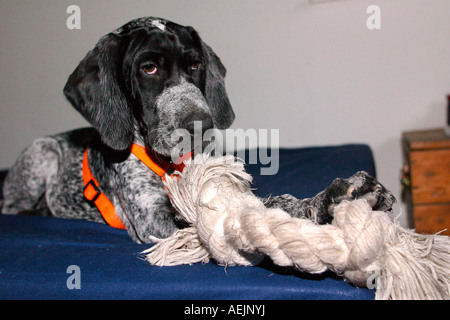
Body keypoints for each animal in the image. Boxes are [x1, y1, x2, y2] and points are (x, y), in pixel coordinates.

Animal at [1, 16, 394, 242]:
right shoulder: (155, 219)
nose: (200, 123)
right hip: (40, 155)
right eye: (148, 68)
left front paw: (332, 199)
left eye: (195, 65)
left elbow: (272, 202)